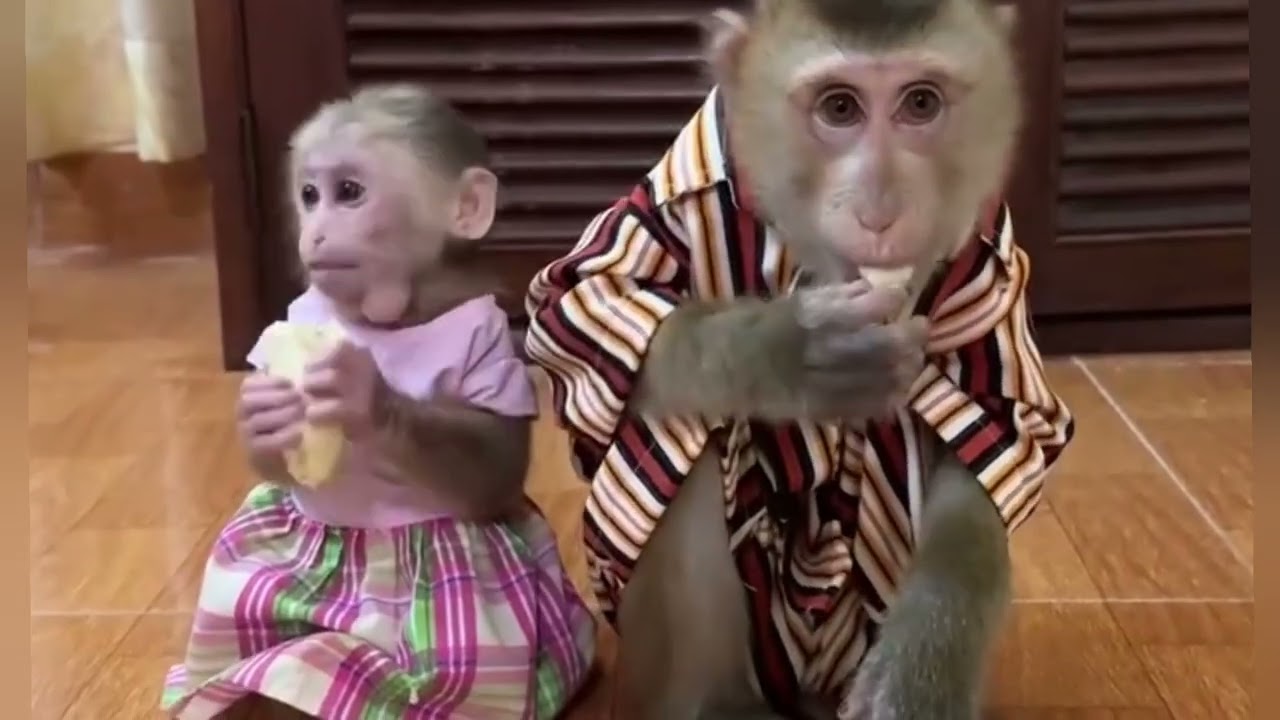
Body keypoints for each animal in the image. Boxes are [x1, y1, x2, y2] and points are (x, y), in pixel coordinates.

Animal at [160, 83, 597, 720]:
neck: (394, 317)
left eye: (349, 193)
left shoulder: (495, 350)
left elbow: (492, 465)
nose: (314, 230)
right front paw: (261, 417)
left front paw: (366, 397)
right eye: (309, 195)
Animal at [522, 1, 1075, 719]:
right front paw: (792, 354)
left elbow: (1001, 433)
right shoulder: (676, 194)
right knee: (677, 428)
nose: (881, 211)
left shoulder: (988, 255)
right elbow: (572, 312)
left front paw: (921, 673)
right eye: (839, 108)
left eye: (920, 103)